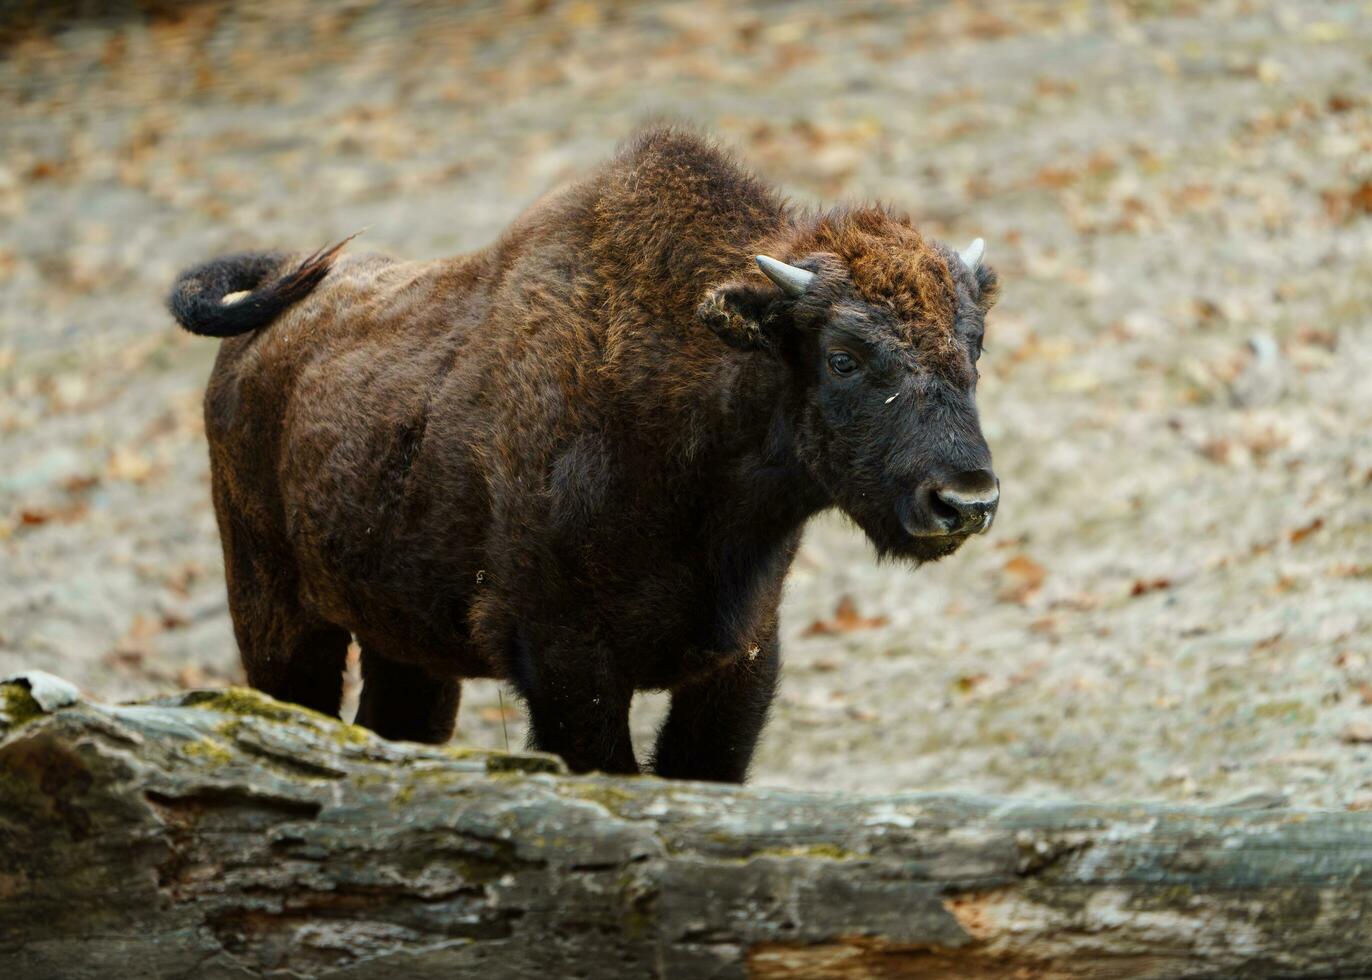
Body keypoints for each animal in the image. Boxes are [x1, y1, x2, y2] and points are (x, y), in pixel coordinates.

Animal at [171, 126, 998, 779]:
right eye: (843, 357)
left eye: (974, 345)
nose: (965, 500)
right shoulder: (567, 665)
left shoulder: (738, 659)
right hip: (277, 613)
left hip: (403, 643)